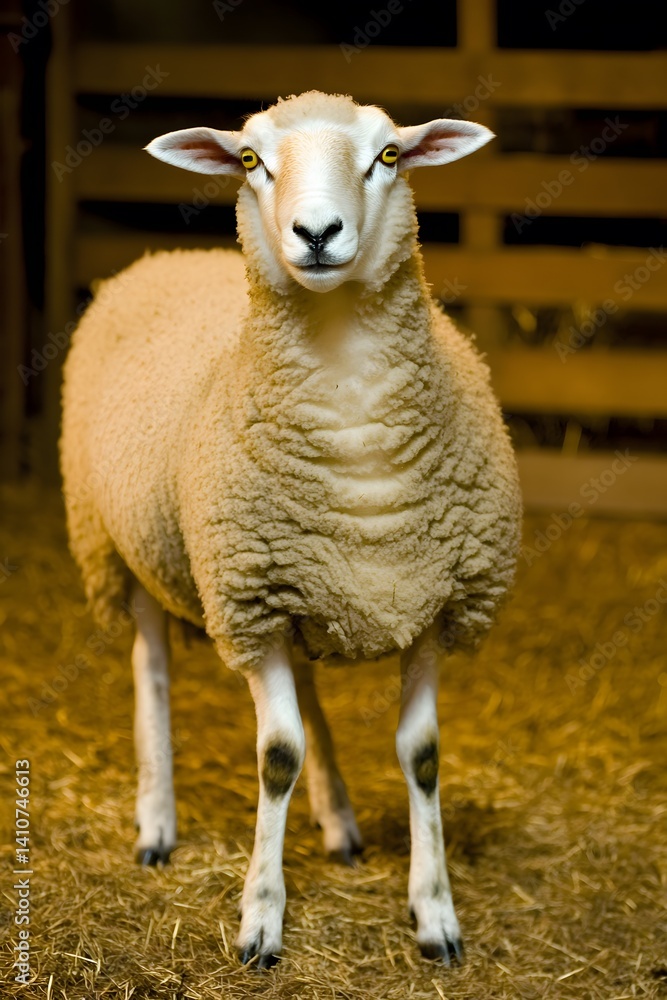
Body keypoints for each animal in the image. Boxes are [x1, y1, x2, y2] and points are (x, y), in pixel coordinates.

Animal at [60, 90, 522, 969]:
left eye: (388, 155)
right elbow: (275, 755)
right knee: (152, 673)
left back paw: (337, 820)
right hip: (122, 551)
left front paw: (435, 915)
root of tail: (165, 256)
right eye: (249, 160)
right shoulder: (249, 601)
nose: (315, 233)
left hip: (298, 588)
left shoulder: (430, 604)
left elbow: (420, 756)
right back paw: (157, 823)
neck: (357, 441)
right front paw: (260, 921)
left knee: (302, 693)